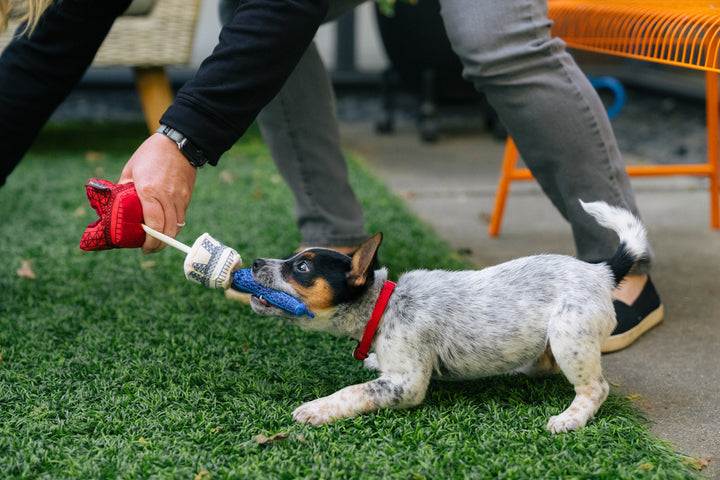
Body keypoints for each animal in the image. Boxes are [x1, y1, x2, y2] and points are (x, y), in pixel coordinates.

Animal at [246, 201, 648, 434]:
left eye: (301, 267)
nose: (254, 262)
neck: (384, 306)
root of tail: (602, 272)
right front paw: (373, 360)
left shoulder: (406, 384)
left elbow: (353, 392)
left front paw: (317, 409)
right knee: (543, 364)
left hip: (570, 336)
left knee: (595, 388)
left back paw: (571, 418)